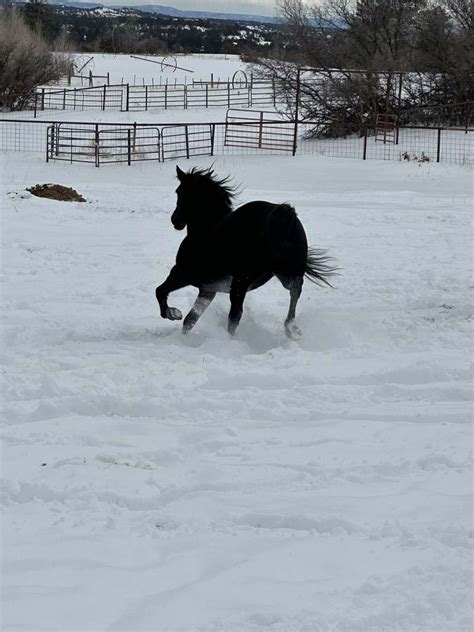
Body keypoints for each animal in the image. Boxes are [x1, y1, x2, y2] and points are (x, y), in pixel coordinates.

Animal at [155, 165, 334, 338]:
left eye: (179, 191)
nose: (175, 220)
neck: (206, 230)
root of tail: (284, 215)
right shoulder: (208, 290)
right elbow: (190, 319)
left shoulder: (182, 273)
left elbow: (160, 291)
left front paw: (173, 313)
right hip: (286, 272)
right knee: (295, 290)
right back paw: (291, 328)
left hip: (241, 281)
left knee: (235, 314)